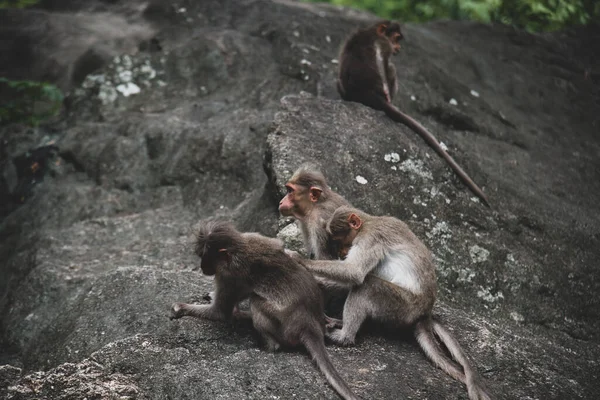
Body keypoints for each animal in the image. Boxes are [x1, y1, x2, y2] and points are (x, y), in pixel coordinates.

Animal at [169, 220, 358, 400]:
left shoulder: (228, 275)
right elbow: (278, 244)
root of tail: (311, 326)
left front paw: (181, 307)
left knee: (256, 301)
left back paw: (268, 344)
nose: (202, 267)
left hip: (285, 327)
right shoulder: (252, 237)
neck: (237, 247)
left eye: (205, 257)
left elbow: (220, 312)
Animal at [336, 20, 490, 206]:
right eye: (396, 38)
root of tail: (367, 95)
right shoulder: (383, 44)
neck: (373, 31)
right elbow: (382, 64)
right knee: (390, 67)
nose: (399, 48)